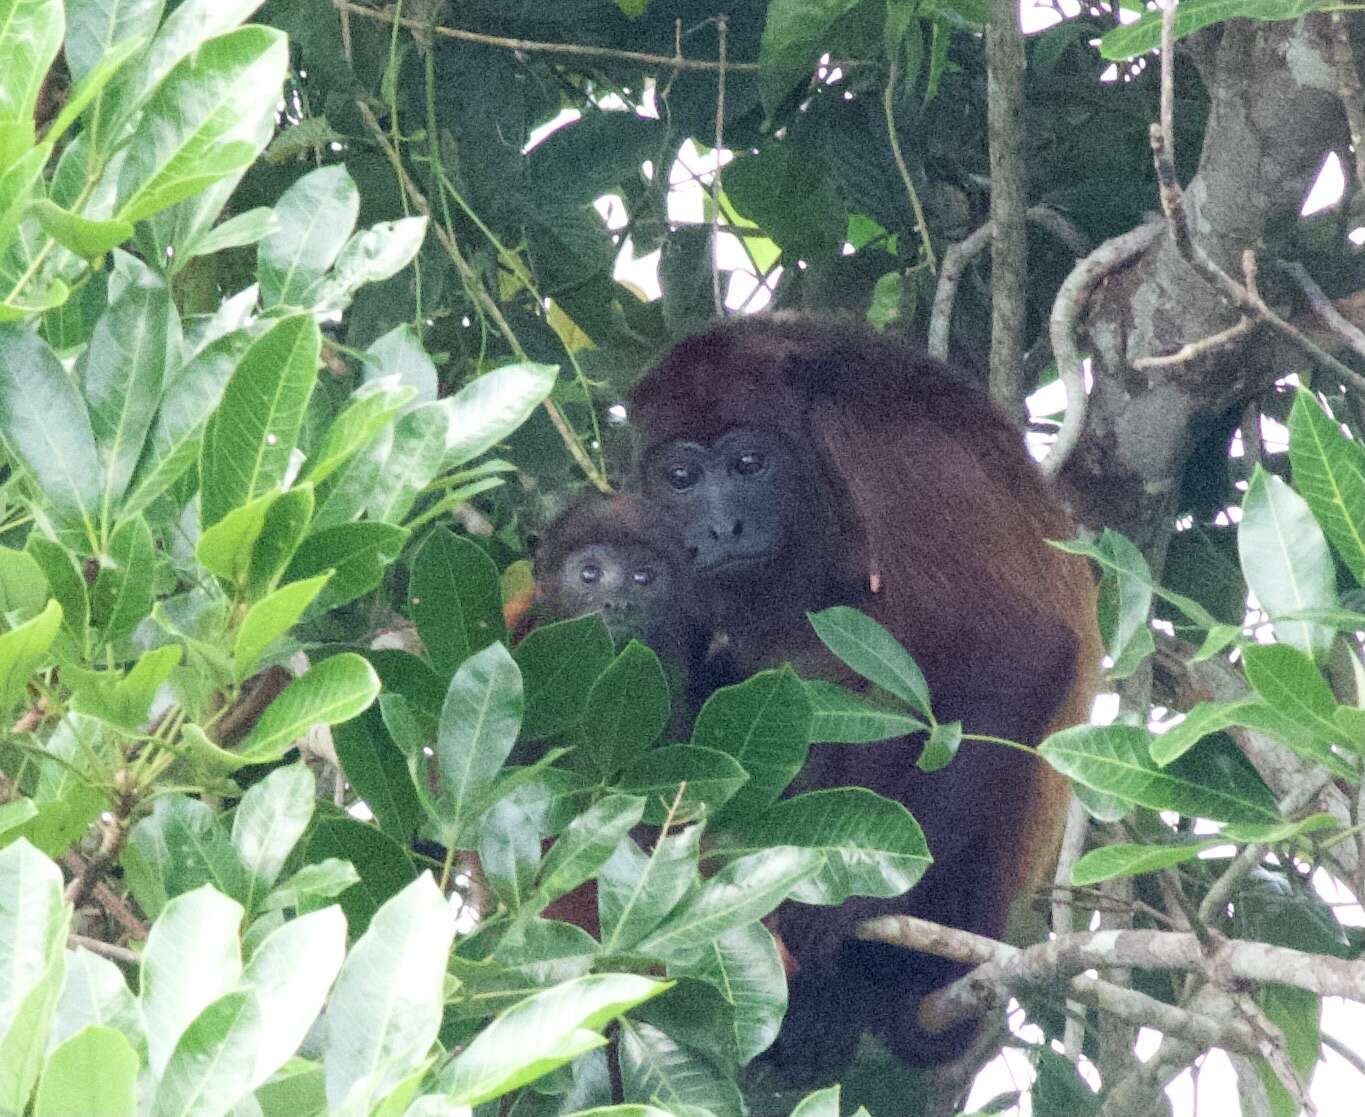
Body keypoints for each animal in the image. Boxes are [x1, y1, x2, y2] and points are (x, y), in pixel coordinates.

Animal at [627, 314, 1097, 1070]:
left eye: (748, 465)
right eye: (680, 477)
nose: (720, 528)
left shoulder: (877, 438)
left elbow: (1020, 644)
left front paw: (843, 906)